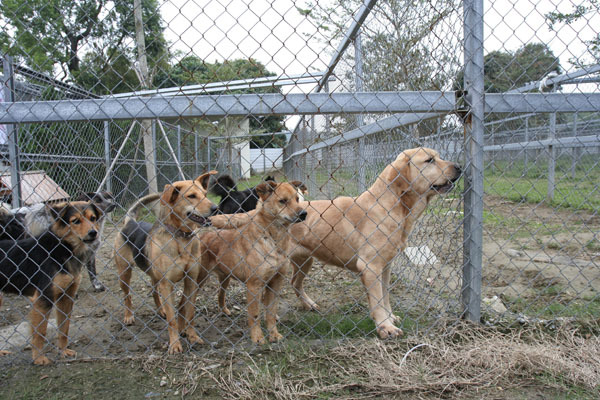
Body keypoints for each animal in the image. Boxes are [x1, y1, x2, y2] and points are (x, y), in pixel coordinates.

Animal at [112, 171, 218, 354]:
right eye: (191, 196)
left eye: (205, 194)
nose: (215, 208)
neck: (181, 239)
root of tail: (130, 222)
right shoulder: (167, 284)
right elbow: (172, 319)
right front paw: (175, 344)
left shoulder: (191, 281)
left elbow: (189, 312)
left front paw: (192, 336)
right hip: (124, 273)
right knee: (127, 296)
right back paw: (129, 316)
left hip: (155, 275)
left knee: (154, 291)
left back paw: (160, 310)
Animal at [200, 181, 308, 344]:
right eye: (282, 201)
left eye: (297, 199)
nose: (304, 214)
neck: (274, 240)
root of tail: (203, 235)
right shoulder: (254, 285)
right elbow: (255, 314)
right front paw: (257, 338)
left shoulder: (276, 282)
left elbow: (271, 312)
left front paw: (274, 335)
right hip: (197, 280)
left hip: (225, 277)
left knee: (220, 294)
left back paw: (224, 310)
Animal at [210, 148, 460, 340]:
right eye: (429, 160)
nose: (459, 167)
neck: (393, 205)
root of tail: (258, 211)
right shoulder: (370, 267)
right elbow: (378, 300)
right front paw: (385, 327)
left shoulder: (385, 267)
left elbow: (385, 297)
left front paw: (389, 318)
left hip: (304, 261)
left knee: (294, 284)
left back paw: (308, 304)